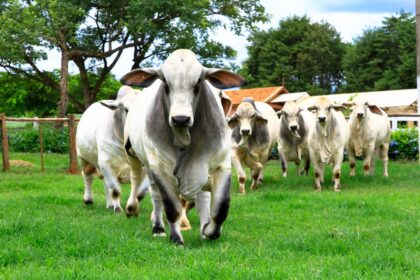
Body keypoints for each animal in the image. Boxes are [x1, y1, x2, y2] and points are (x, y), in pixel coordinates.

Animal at [120, 50, 243, 245]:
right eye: (165, 81)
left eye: (199, 81)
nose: (180, 119)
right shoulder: (160, 168)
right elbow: (172, 208)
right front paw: (176, 237)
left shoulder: (222, 164)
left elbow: (221, 208)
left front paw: (209, 231)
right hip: (139, 161)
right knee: (152, 193)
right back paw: (157, 226)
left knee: (203, 197)